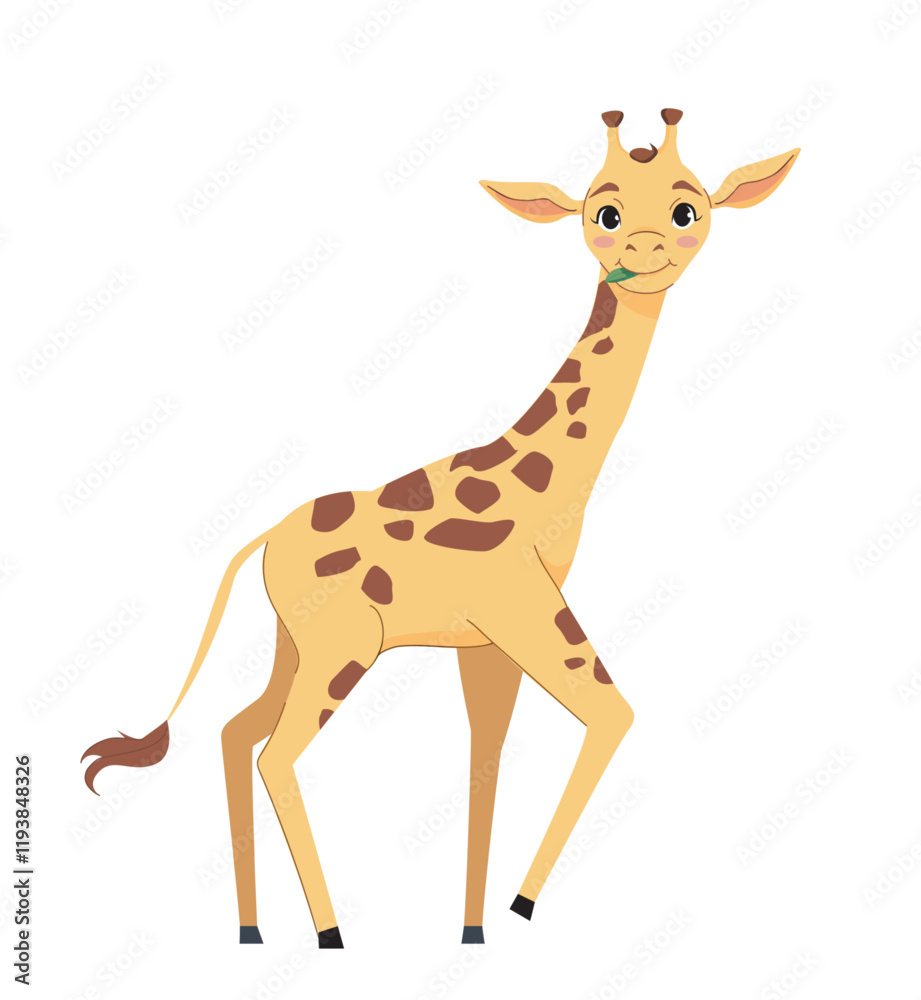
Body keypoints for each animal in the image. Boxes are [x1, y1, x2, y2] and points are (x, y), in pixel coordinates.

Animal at [82, 109, 799, 948]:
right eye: (604, 214)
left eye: (688, 210)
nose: (642, 254)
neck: (551, 485)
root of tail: (261, 541)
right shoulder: (526, 611)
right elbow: (613, 714)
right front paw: (519, 904)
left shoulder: (483, 645)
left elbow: (484, 758)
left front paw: (473, 929)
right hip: (343, 648)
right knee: (275, 753)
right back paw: (329, 932)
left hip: (295, 644)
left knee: (235, 731)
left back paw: (251, 929)